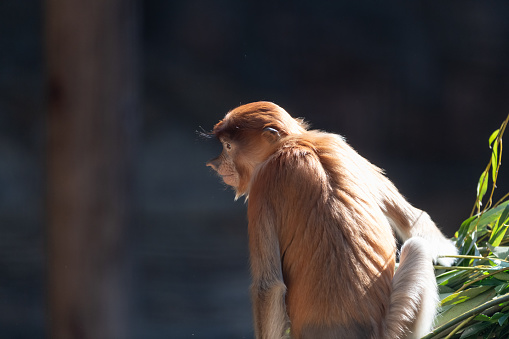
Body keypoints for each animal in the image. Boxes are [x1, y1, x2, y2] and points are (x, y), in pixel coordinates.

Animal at [206, 101, 456, 339]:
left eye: (228, 147)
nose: (214, 164)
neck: (293, 145)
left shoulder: (263, 182)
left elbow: (268, 286)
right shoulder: (334, 142)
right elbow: (414, 219)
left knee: (416, 248)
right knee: (418, 244)